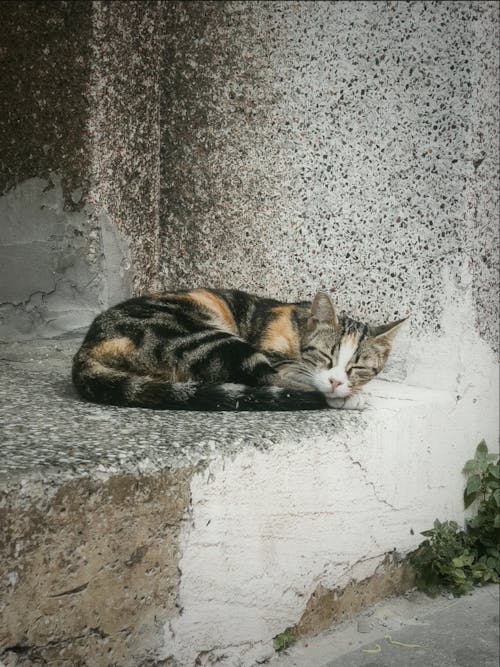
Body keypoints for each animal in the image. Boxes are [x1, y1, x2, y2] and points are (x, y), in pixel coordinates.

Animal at [72, 288, 404, 410]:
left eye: (357, 367)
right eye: (325, 356)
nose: (336, 381)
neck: (299, 325)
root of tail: (89, 345)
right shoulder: (276, 356)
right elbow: (295, 375)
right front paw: (348, 396)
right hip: (205, 338)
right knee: (265, 379)